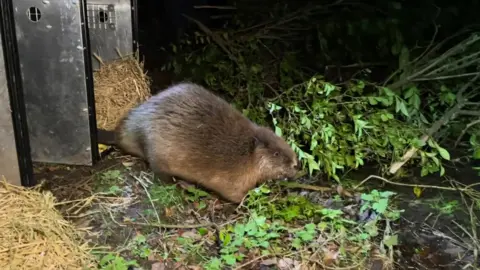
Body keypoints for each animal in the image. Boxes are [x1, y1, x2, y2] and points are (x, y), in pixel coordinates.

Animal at [114, 82, 300, 202]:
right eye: (276, 153)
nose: (295, 164)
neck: (247, 152)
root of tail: (124, 133)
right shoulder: (233, 178)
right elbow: (234, 194)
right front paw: (248, 199)